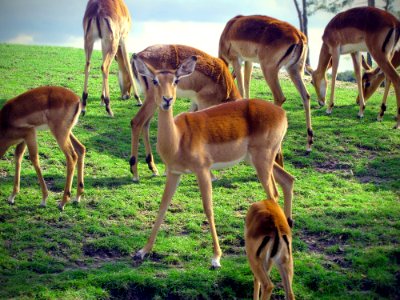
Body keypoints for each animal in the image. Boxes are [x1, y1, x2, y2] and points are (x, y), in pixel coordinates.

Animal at [123, 43, 241, 182]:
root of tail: (139, 55)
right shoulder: (204, 103)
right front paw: (211, 175)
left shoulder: (195, 103)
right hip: (153, 100)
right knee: (136, 122)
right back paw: (135, 173)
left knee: (145, 124)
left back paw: (153, 168)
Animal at [131, 55, 294, 268]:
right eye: (156, 81)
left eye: (176, 80)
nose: (167, 100)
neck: (178, 138)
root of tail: (282, 114)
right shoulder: (174, 173)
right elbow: (162, 207)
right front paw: (143, 251)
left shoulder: (202, 170)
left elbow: (208, 208)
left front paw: (216, 257)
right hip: (258, 161)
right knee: (288, 180)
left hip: (262, 162)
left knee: (273, 194)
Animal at [217, 14, 314, 152]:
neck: (229, 30)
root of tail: (298, 36)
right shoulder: (248, 61)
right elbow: (247, 87)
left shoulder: (236, 60)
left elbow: (241, 88)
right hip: (294, 69)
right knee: (305, 95)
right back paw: (308, 144)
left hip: (269, 70)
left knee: (280, 97)